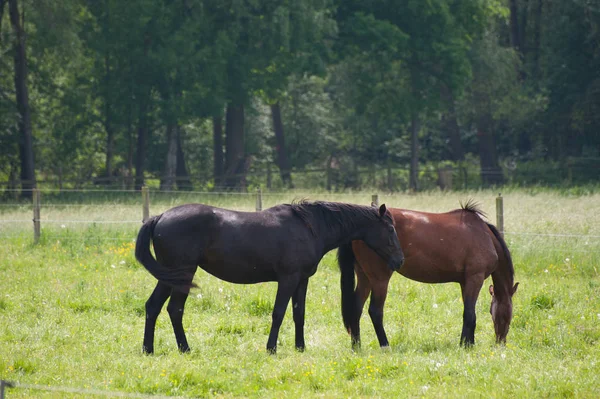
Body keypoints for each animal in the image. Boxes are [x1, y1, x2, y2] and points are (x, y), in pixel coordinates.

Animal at [136, 202, 406, 354]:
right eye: (390, 229)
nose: (400, 260)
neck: (309, 227)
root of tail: (160, 217)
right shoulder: (287, 279)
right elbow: (278, 313)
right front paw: (271, 348)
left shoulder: (302, 280)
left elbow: (299, 313)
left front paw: (300, 347)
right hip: (183, 273)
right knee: (174, 309)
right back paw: (184, 348)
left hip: (169, 276)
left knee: (153, 306)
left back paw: (149, 349)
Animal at [340, 202, 516, 348]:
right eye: (507, 314)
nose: (501, 342)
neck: (484, 235)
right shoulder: (475, 278)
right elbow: (470, 314)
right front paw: (466, 346)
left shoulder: (464, 282)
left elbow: (468, 312)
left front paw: (467, 343)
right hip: (379, 279)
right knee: (375, 311)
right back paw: (385, 345)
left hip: (365, 277)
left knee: (356, 308)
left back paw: (357, 347)